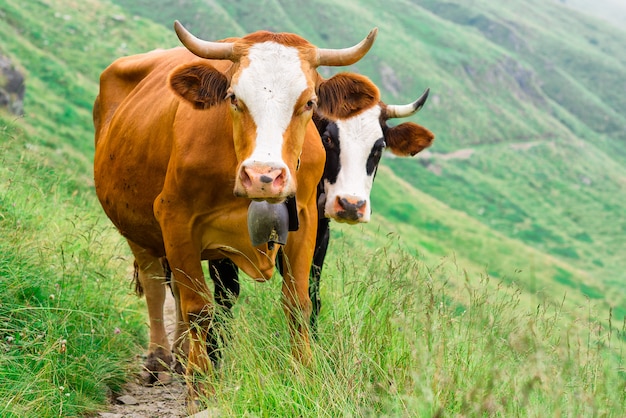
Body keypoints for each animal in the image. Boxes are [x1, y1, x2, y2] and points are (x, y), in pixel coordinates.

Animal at [91, 21, 376, 404]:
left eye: (309, 103)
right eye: (233, 98)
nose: (263, 176)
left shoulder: (306, 222)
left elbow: (299, 304)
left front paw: (304, 374)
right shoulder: (176, 219)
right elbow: (199, 308)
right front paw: (201, 386)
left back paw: (181, 356)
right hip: (136, 227)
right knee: (155, 286)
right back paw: (160, 360)